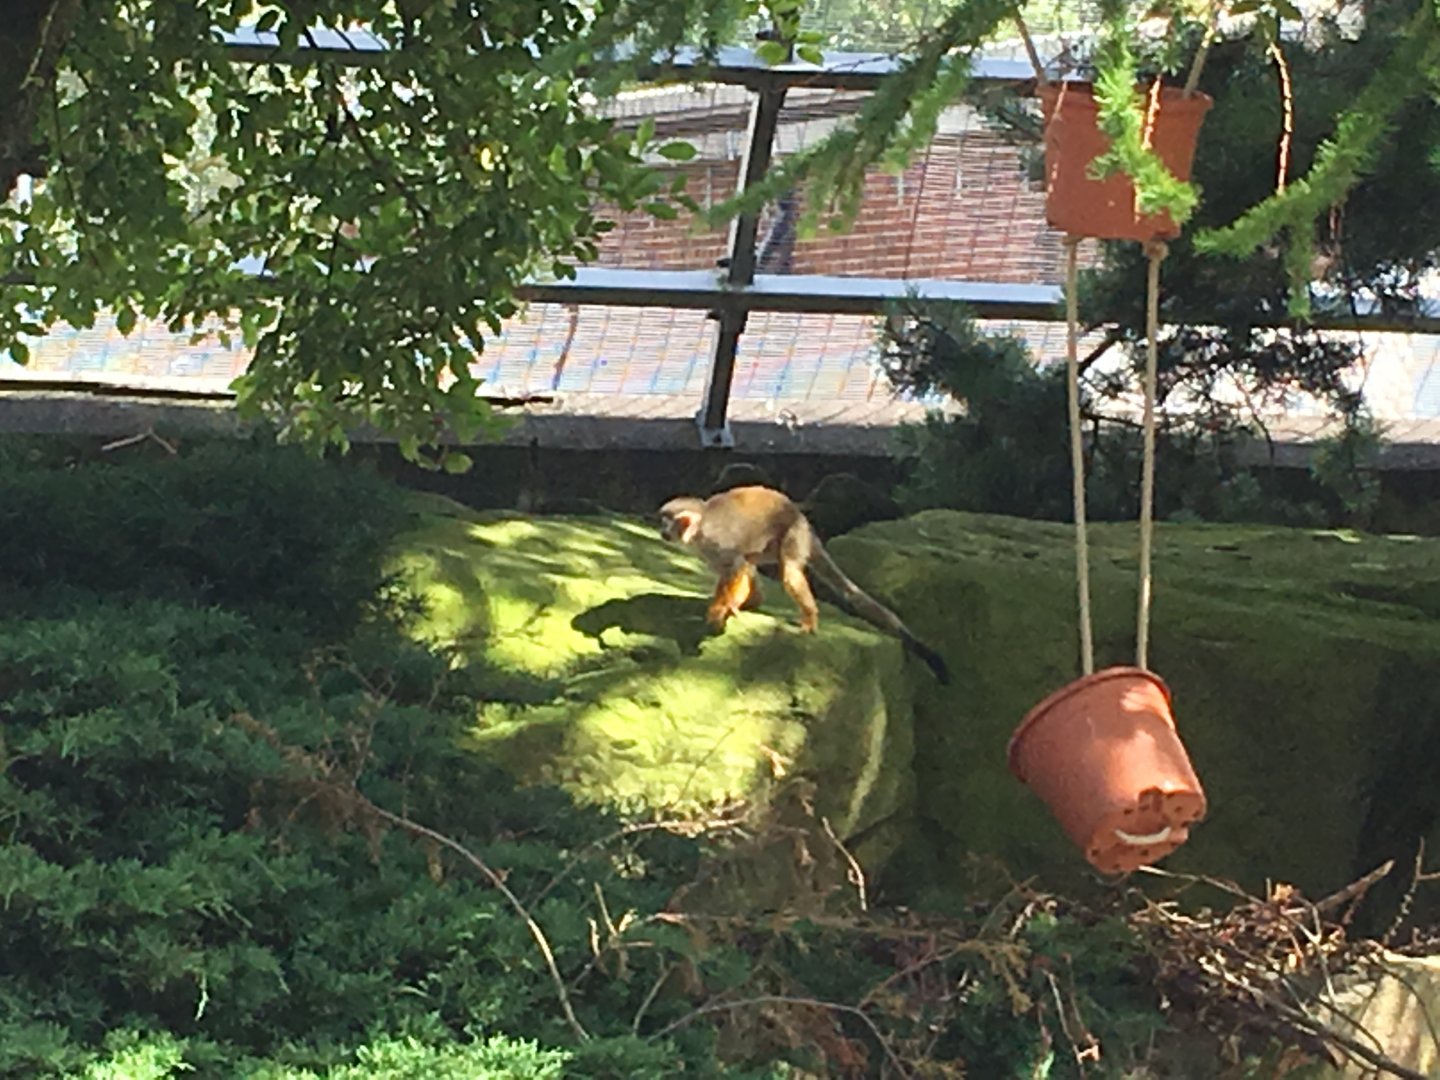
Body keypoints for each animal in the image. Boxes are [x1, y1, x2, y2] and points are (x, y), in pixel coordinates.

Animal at [657, 485, 950, 684]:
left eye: (666, 524)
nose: (661, 532)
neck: (700, 528)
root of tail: (805, 522)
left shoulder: (716, 543)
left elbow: (735, 568)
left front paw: (719, 611)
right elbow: (736, 569)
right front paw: (736, 604)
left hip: (793, 534)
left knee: (788, 571)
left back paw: (809, 618)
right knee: (752, 560)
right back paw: (756, 600)